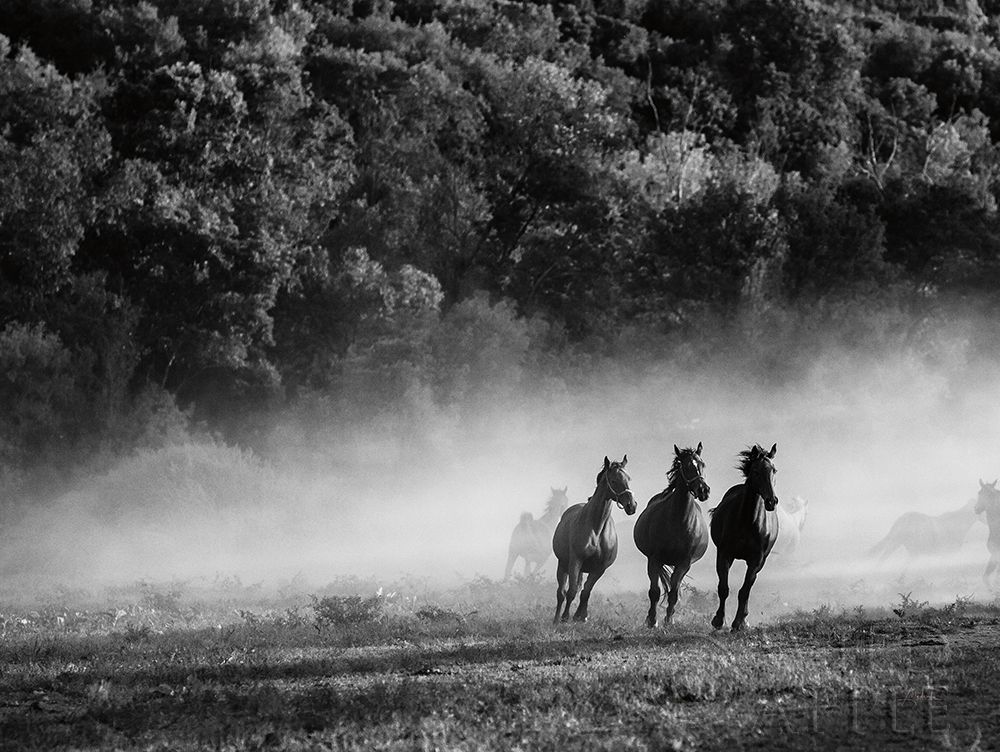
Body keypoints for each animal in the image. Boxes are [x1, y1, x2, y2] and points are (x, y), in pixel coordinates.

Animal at [552, 456, 636, 623]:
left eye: (628, 478)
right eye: (614, 480)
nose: (632, 505)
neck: (596, 529)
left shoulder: (600, 568)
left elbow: (586, 592)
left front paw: (580, 616)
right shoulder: (575, 561)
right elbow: (571, 591)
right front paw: (565, 616)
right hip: (563, 564)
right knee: (561, 592)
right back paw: (557, 618)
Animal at [633, 443, 710, 627]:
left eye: (702, 464)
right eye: (686, 466)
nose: (703, 490)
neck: (678, 520)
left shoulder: (684, 563)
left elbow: (674, 593)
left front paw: (669, 620)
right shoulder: (654, 559)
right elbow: (654, 591)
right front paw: (652, 621)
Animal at [710, 443, 779, 632]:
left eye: (774, 470)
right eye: (755, 471)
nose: (772, 501)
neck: (747, 521)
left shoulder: (756, 560)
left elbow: (745, 590)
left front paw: (739, 623)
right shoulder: (724, 554)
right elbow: (723, 589)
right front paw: (718, 620)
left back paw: (744, 619)